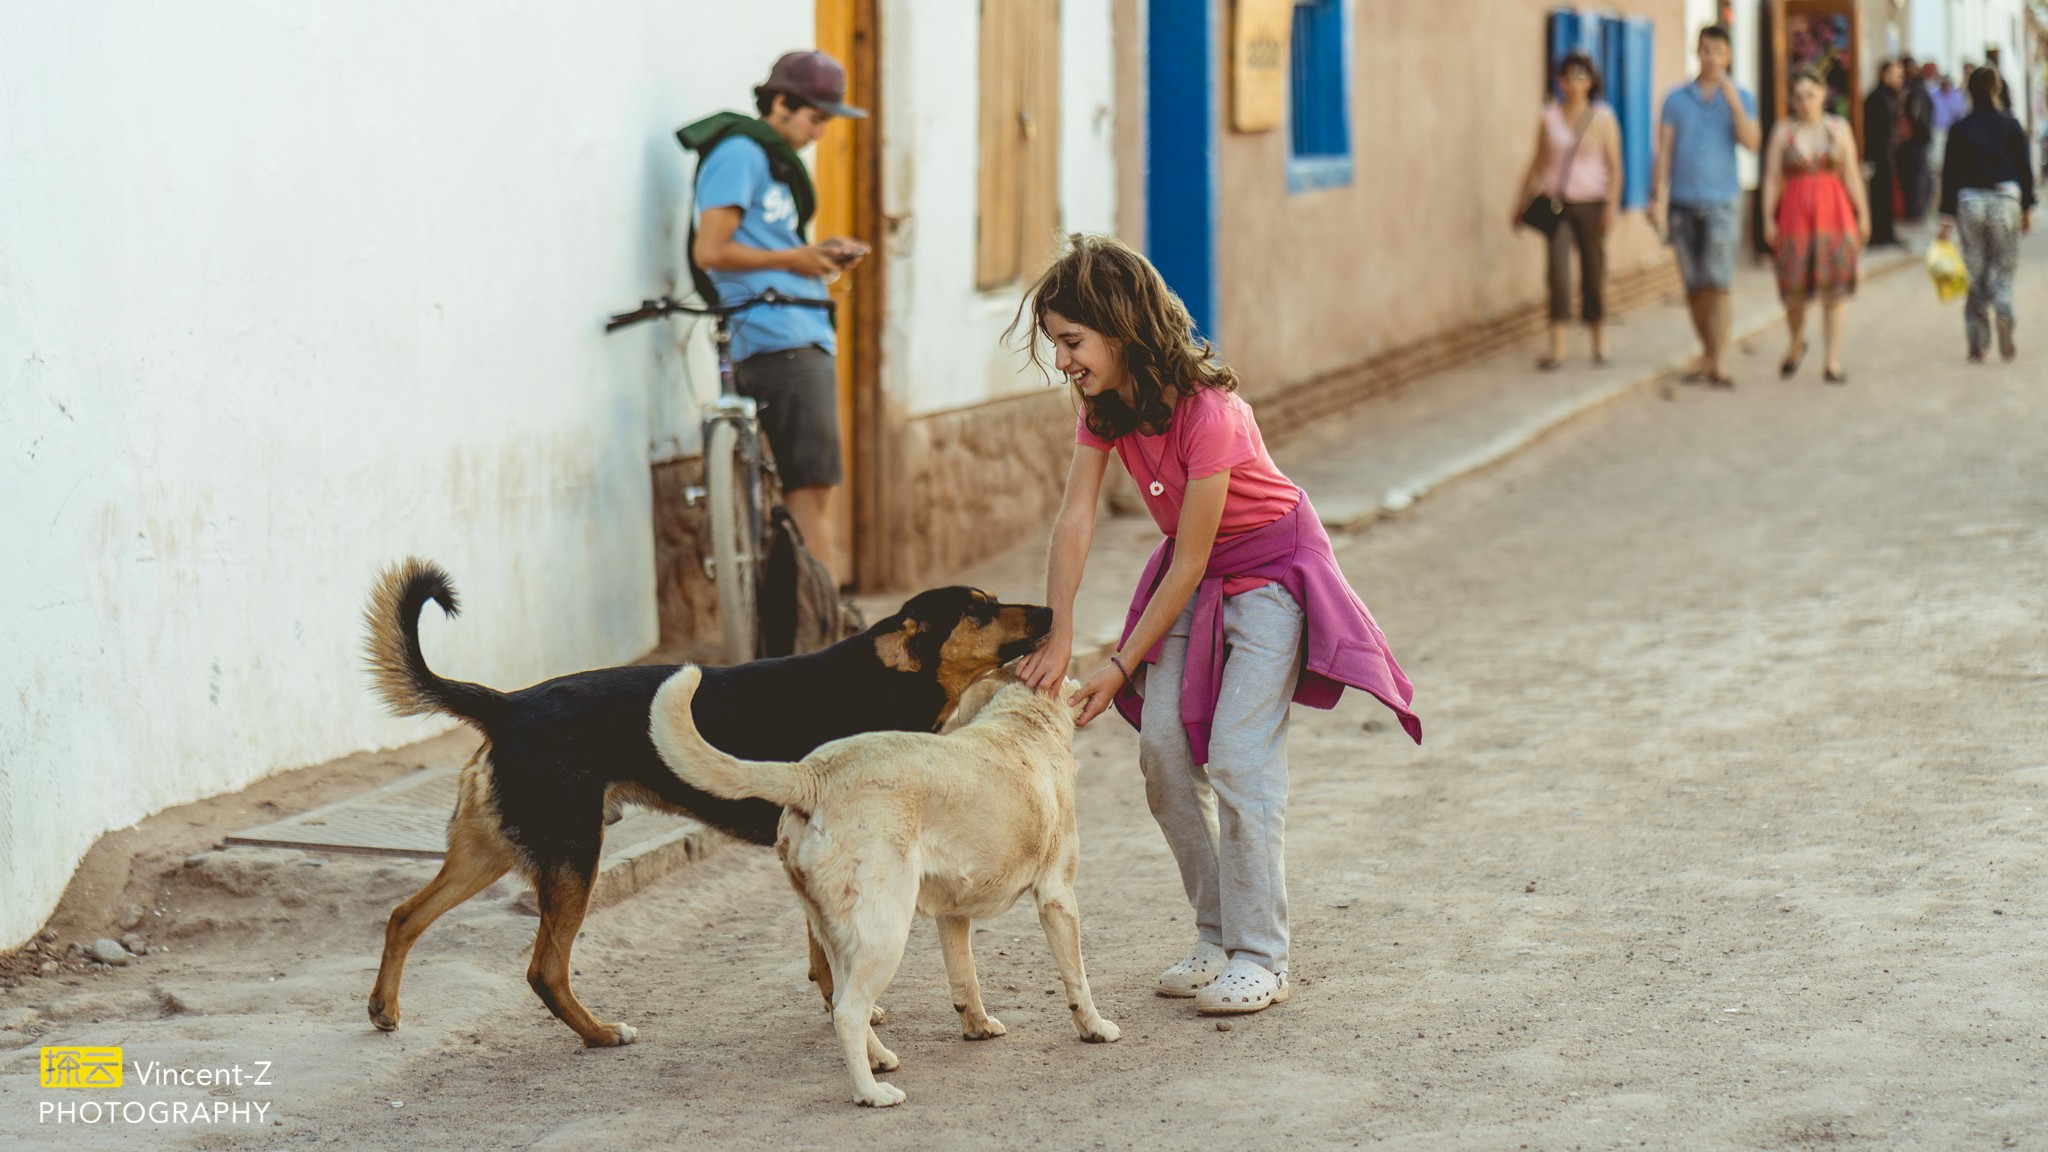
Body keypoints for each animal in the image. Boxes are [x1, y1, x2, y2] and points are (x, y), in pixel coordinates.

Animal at [358, 553, 1048, 1045]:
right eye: (978, 612)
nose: (1047, 612)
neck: (881, 681)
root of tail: (507, 704)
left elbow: (820, 949)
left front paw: (836, 1002)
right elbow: (829, 947)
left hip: (491, 850)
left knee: (403, 916)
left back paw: (384, 1008)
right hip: (573, 856)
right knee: (543, 970)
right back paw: (601, 1033)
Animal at [647, 664, 1122, 1106]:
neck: (1023, 721)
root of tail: (813, 772)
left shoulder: (953, 914)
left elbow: (965, 978)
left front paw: (978, 1027)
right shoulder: (1057, 898)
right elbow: (1077, 978)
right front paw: (1094, 1028)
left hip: (841, 934)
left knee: (840, 999)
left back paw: (878, 1060)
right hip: (886, 933)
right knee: (848, 1013)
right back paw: (871, 1093)